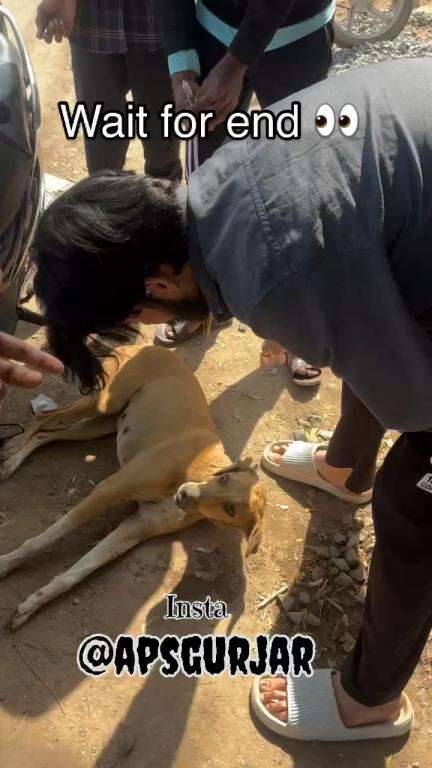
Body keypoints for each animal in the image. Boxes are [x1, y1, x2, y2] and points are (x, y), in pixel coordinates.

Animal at [0, 344, 266, 628]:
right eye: (224, 479)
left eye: (230, 510)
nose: (185, 493)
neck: (198, 469)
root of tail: (148, 345)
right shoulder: (107, 490)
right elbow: (45, 537)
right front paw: (6, 563)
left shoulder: (136, 528)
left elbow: (78, 571)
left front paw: (32, 605)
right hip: (101, 405)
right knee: (43, 417)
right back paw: (13, 450)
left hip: (99, 423)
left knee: (47, 434)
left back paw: (15, 456)